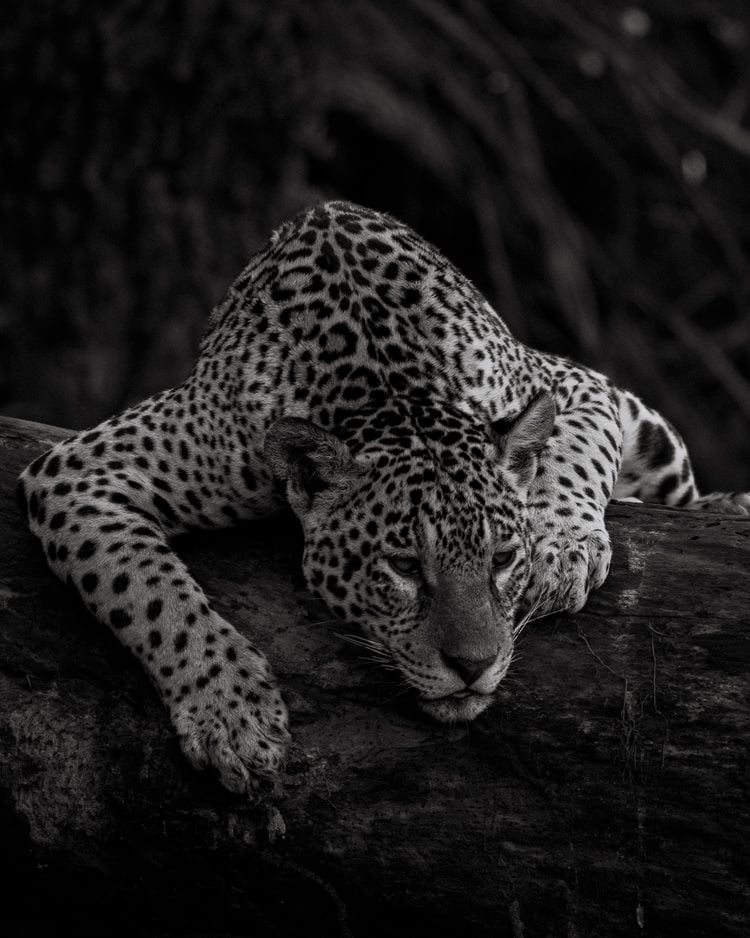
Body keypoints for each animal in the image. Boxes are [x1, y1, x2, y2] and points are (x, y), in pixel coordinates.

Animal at [17, 200, 750, 796]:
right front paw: (233, 714)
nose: (474, 666)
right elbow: (150, 594)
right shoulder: (79, 470)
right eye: (402, 567)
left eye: (503, 559)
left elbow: (574, 456)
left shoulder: (575, 383)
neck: (391, 389)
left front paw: (562, 550)